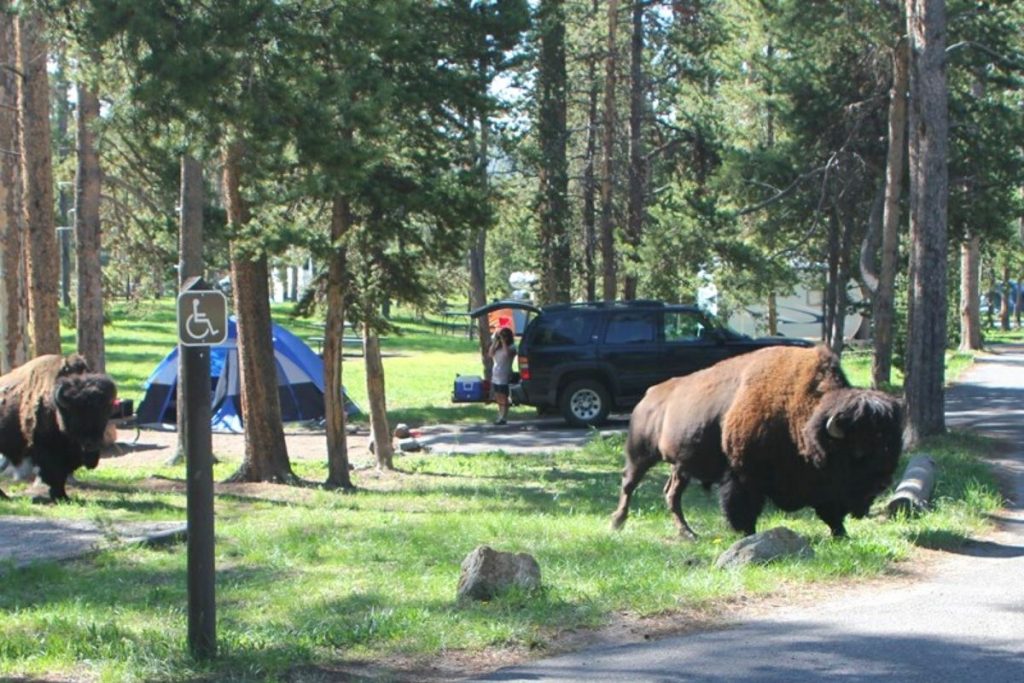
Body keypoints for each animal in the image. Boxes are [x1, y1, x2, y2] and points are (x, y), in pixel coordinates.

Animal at [0, 356, 117, 505]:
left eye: (104, 416)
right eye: (76, 417)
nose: (92, 446)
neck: (56, 409)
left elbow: (61, 475)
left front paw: (63, 496)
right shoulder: (47, 452)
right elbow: (55, 473)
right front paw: (60, 496)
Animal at [610, 348, 901, 540]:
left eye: (891, 446)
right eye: (859, 452)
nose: (883, 483)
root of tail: (648, 396)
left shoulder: (822, 489)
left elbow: (830, 513)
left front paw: (842, 535)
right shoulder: (743, 476)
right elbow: (742, 509)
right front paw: (748, 535)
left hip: (681, 467)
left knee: (672, 494)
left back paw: (688, 533)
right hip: (641, 455)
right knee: (629, 484)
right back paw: (617, 522)